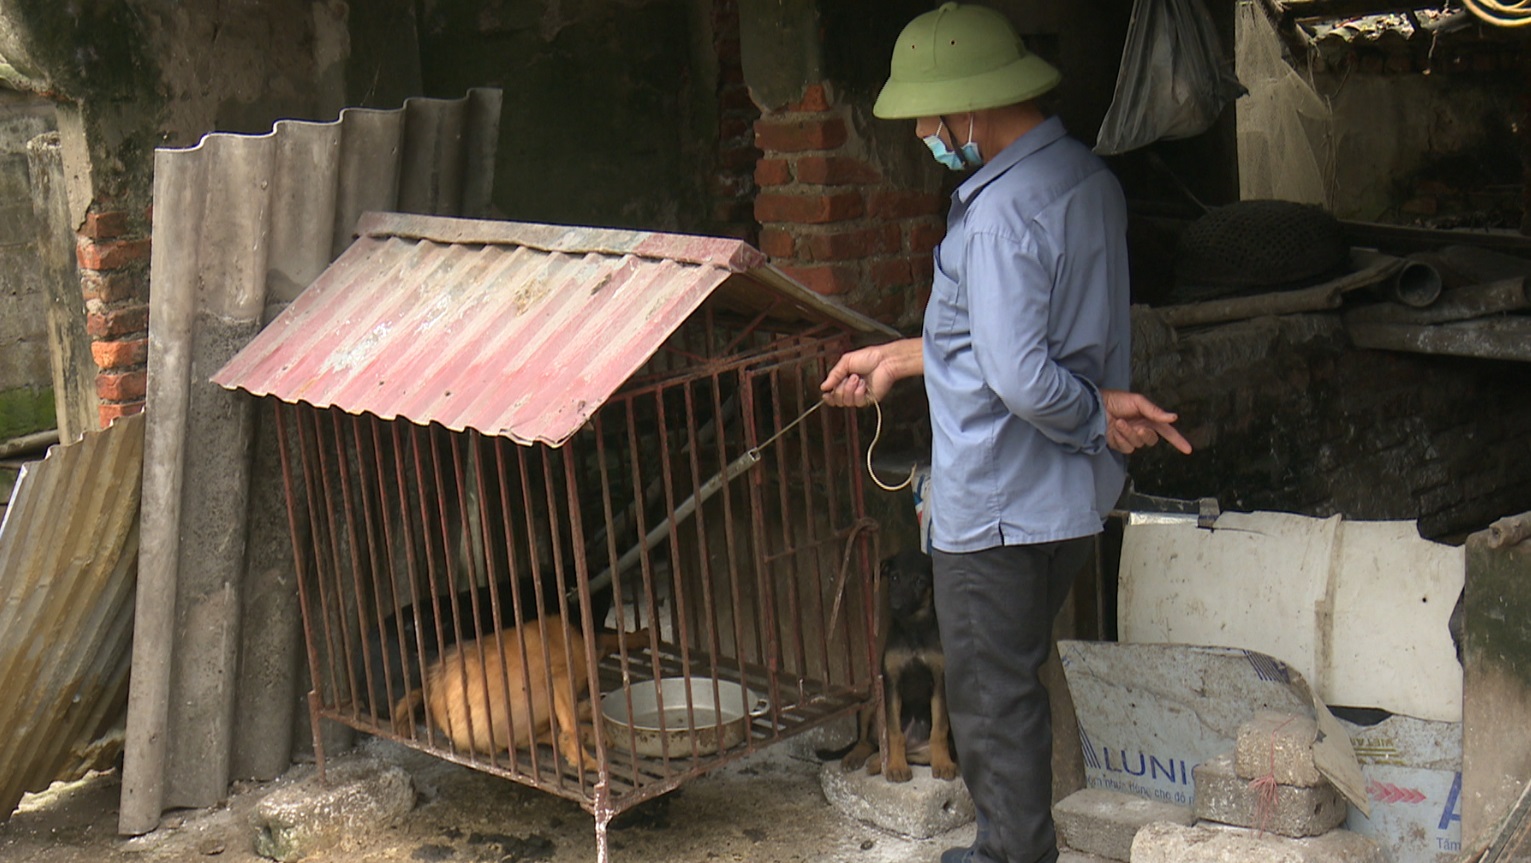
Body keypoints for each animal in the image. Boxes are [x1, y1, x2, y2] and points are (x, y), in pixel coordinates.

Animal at [838, 553, 955, 783]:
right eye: (893, 577)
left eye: (919, 581)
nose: (896, 605)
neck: (914, 628)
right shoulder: (892, 683)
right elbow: (893, 732)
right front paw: (896, 766)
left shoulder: (939, 681)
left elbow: (939, 729)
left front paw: (943, 763)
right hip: (870, 700)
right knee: (867, 741)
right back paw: (860, 759)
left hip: (921, 748)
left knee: (911, 752)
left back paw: (877, 762)